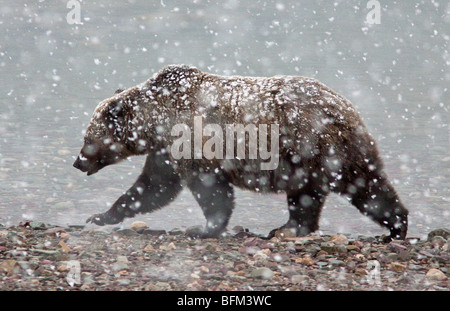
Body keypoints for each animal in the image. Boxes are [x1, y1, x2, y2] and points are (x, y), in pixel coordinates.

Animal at [74, 65, 408, 241]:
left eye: (88, 138)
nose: (77, 162)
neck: (158, 120)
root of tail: (348, 107)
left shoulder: (194, 142)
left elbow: (209, 191)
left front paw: (203, 227)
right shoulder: (166, 151)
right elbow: (153, 186)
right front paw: (102, 215)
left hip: (312, 148)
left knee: (343, 189)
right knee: (346, 189)